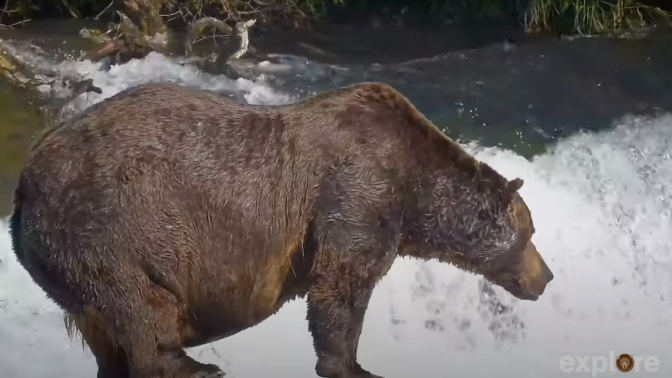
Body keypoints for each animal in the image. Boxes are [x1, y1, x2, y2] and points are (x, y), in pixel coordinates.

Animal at [9, 82, 552, 378]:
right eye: (530, 234)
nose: (545, 278)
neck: (414, 188)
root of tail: (23, 185)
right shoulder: (357, 189)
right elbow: (341, 287)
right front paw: (352, 364)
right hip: (105, 228)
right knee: (140, 306)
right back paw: (194, 363)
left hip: (66, 265)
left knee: (106, 330)